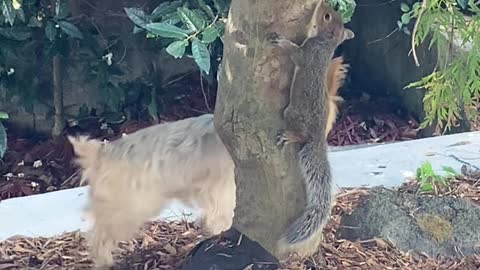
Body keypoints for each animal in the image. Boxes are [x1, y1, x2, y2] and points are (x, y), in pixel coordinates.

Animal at [68, 57, 348, 268]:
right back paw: (104, 261)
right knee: (98, 234)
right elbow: (221, 219)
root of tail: (101, 153)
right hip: (129, 207)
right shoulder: (222, 191)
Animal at [268, 1, 354, 258]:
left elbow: (295, 54)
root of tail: (317, 138)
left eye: (326, 16)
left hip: (291, 113)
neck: (326, 44)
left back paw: (290, 135)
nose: (322, 4)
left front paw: (281, 41)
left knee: (299, 134)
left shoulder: (307, 53)